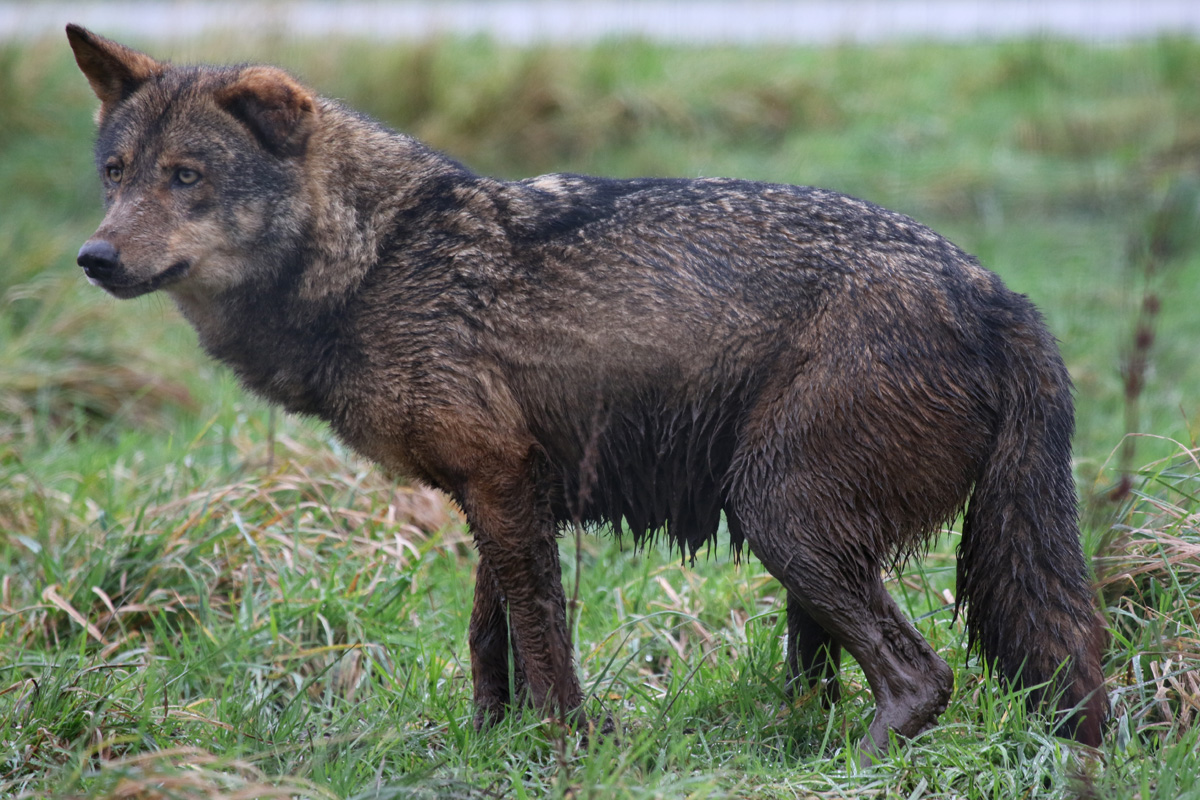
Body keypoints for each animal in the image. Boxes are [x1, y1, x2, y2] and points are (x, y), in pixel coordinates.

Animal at [67, 24, 1108, 760]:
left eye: (187, 177)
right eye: (115, 173)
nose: (94, 257)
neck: (375, 263)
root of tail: (1002, 297)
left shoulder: (506, 489)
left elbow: (542, 643)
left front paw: (565, 752)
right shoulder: (500, 489)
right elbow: (490, 640)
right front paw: (490, 746)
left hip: (781, 518)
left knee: (920, 678)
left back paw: (843, 769)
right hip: (804, 547)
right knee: (852, 680)